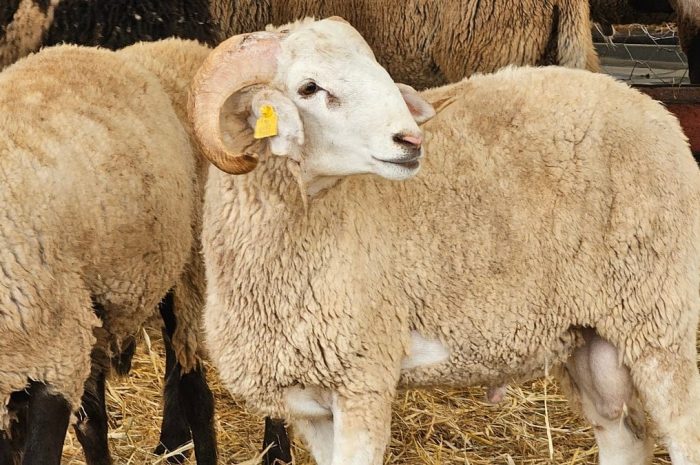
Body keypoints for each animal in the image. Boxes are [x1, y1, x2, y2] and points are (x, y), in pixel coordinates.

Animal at [189, 18, 700, 465]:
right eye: (309, 88)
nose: (410, 139)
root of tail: (654, 110)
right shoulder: (310, 405)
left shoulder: (364, 377)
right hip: (592, 336)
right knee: (624, 435)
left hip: (658, 315)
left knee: (684, 434)